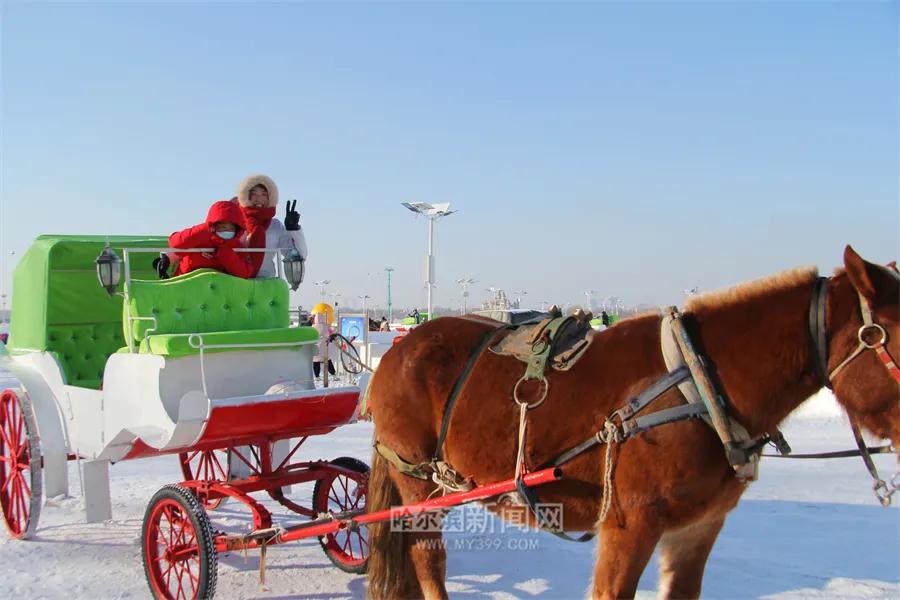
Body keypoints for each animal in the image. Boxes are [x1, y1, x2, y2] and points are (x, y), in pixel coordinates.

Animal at [366, 246, 900, 596]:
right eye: (891, 333)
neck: (701, 380)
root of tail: (398, 351)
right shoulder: (630, 523)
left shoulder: (698, 527)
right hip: (417, 480)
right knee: (428, 557)